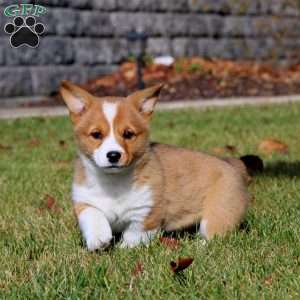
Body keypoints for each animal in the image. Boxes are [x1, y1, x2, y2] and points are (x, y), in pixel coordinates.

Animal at [59, 80, 250, 251]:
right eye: (96, 134)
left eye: (128, 134)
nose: (113, 155)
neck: (113, 182)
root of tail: (232, 163)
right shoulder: (84, 202)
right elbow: (93, 216)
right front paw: (98, 240)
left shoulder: (146, 212)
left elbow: (135, 234)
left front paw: (125, 248)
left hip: (217, 213)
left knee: (214, 235)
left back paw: (198, 246)